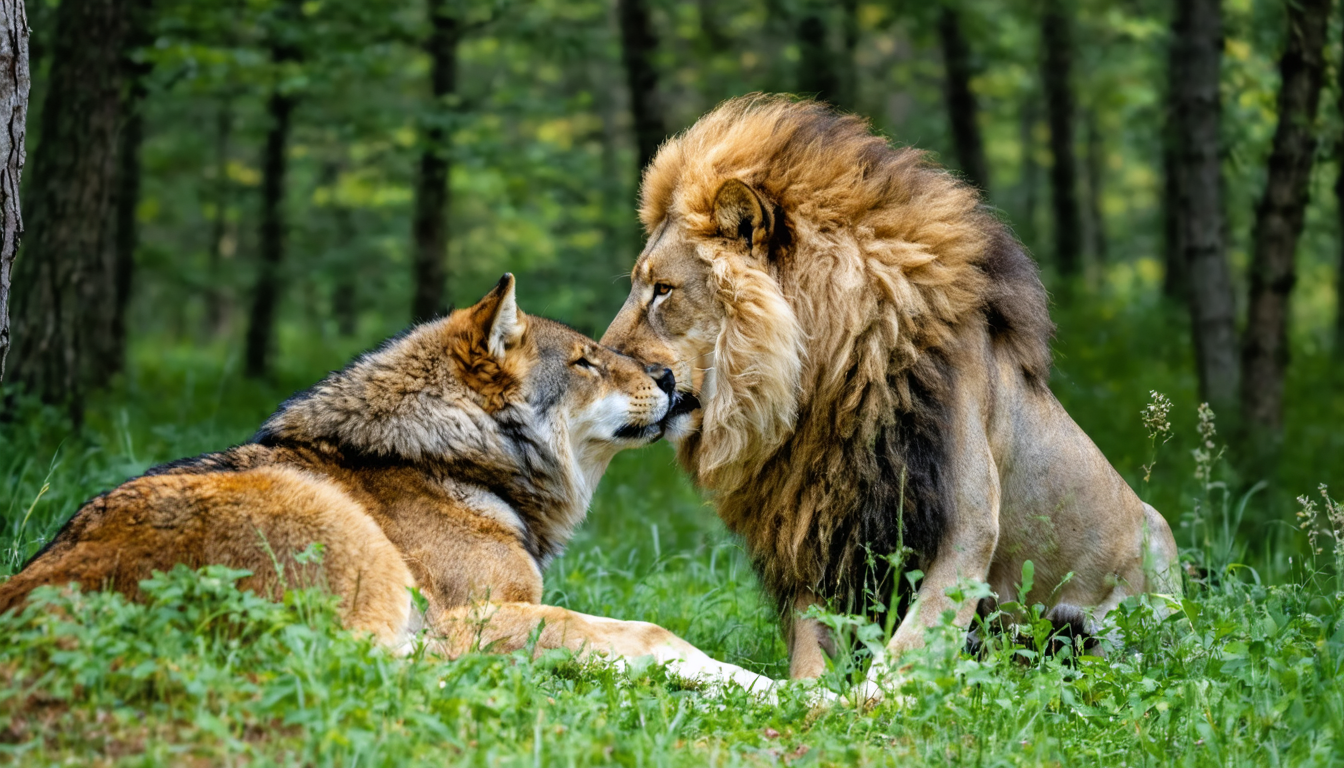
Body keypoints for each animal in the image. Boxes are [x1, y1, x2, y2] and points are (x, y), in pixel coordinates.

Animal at [0, 275, 771, 692]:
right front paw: (785, 692)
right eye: (586, 360)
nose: (670, 379)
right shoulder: (483, 611)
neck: (444, 460)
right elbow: (655, 633)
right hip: (339, 531)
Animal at [601, 95, 1180, 693]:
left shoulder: (968, 523)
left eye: (663, 290)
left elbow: (908, 650)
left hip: (1157, 543)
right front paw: (804, 694)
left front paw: (865, 699)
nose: (601, 361)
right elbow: (812, 653)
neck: (821, 392)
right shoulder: (814, 532)